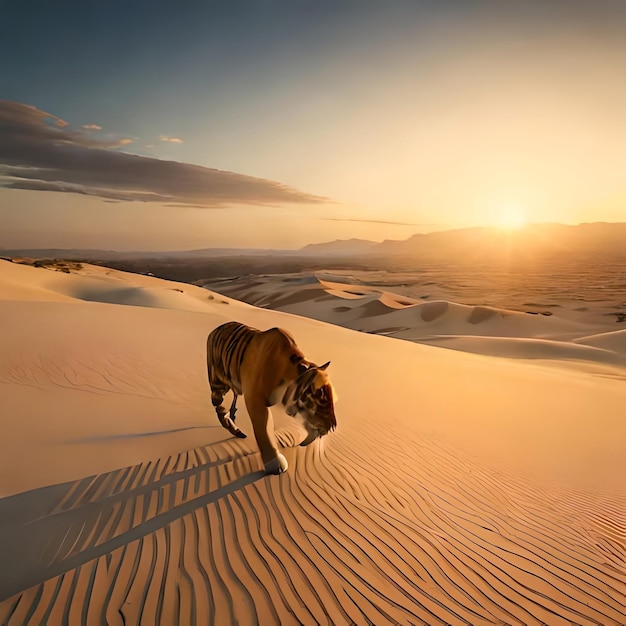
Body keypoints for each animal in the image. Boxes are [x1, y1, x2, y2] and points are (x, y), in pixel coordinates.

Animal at [207, 322, 336, 472]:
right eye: (321, 397)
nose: (333, 425)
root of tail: (215, 329)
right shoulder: (255, 401)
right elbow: (264, 431)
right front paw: (275, 463)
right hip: (217, 382)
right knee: (219, 406)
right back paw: (234, 429)